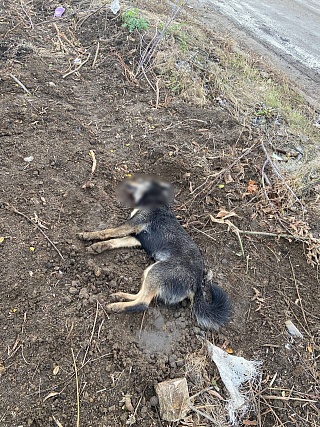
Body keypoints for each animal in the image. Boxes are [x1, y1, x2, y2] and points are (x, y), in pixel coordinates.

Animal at [79, 177, 231, 332]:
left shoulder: (132, 225)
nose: (126, 182)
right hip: (150, 271)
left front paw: (89, 235)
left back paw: (116, 306)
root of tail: (196, 285)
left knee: (143, 303)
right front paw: (98, 246)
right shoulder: (136, 237)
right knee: (141, 295)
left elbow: (108, 232)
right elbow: (114, 241)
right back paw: (120, 296)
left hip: (157, 272)